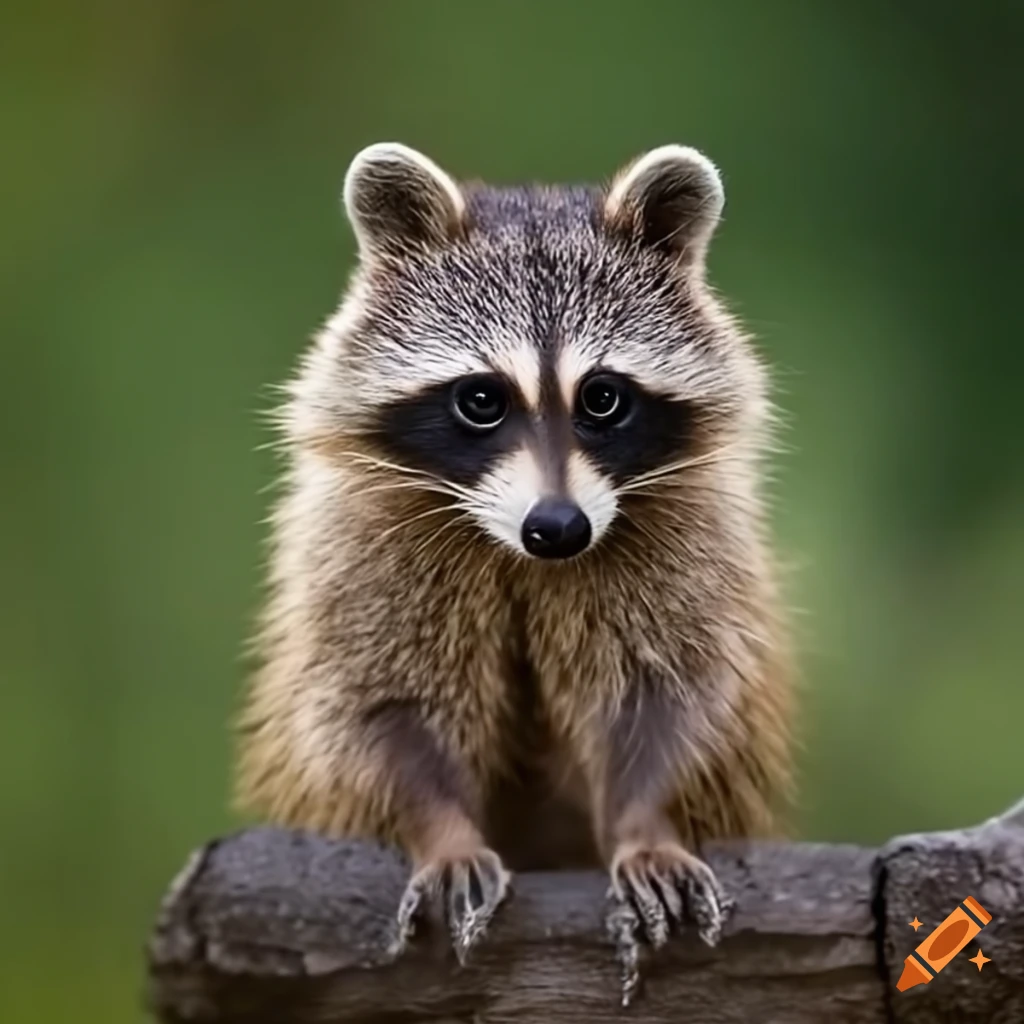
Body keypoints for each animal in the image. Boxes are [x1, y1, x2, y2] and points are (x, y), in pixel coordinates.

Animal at [235, 141, 794, 1001]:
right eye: (480, 399)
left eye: (603, 398)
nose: (558, 529)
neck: (519, 551)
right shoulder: (369, 544)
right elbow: (379, 702)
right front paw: (443, 832)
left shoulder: (680, 539)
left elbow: (669, 690)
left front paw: (643, 825)